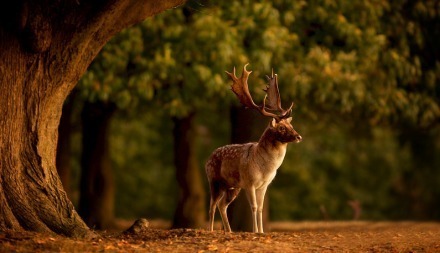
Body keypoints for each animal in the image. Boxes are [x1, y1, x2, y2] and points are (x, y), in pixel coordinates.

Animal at [206, 63, 302, 233]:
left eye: (291, 125)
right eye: (281, 128)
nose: (299, 137)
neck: (265, 169)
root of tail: (207, 160)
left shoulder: (264, 185)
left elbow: (261, 208)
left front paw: (262, 231)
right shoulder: (249, 182)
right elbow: (254, 206)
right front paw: (255, 231)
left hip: (232, 186)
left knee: (222, 205)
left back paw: (229, 231)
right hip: (214, 180)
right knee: (212, 206)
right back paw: (211, 230)